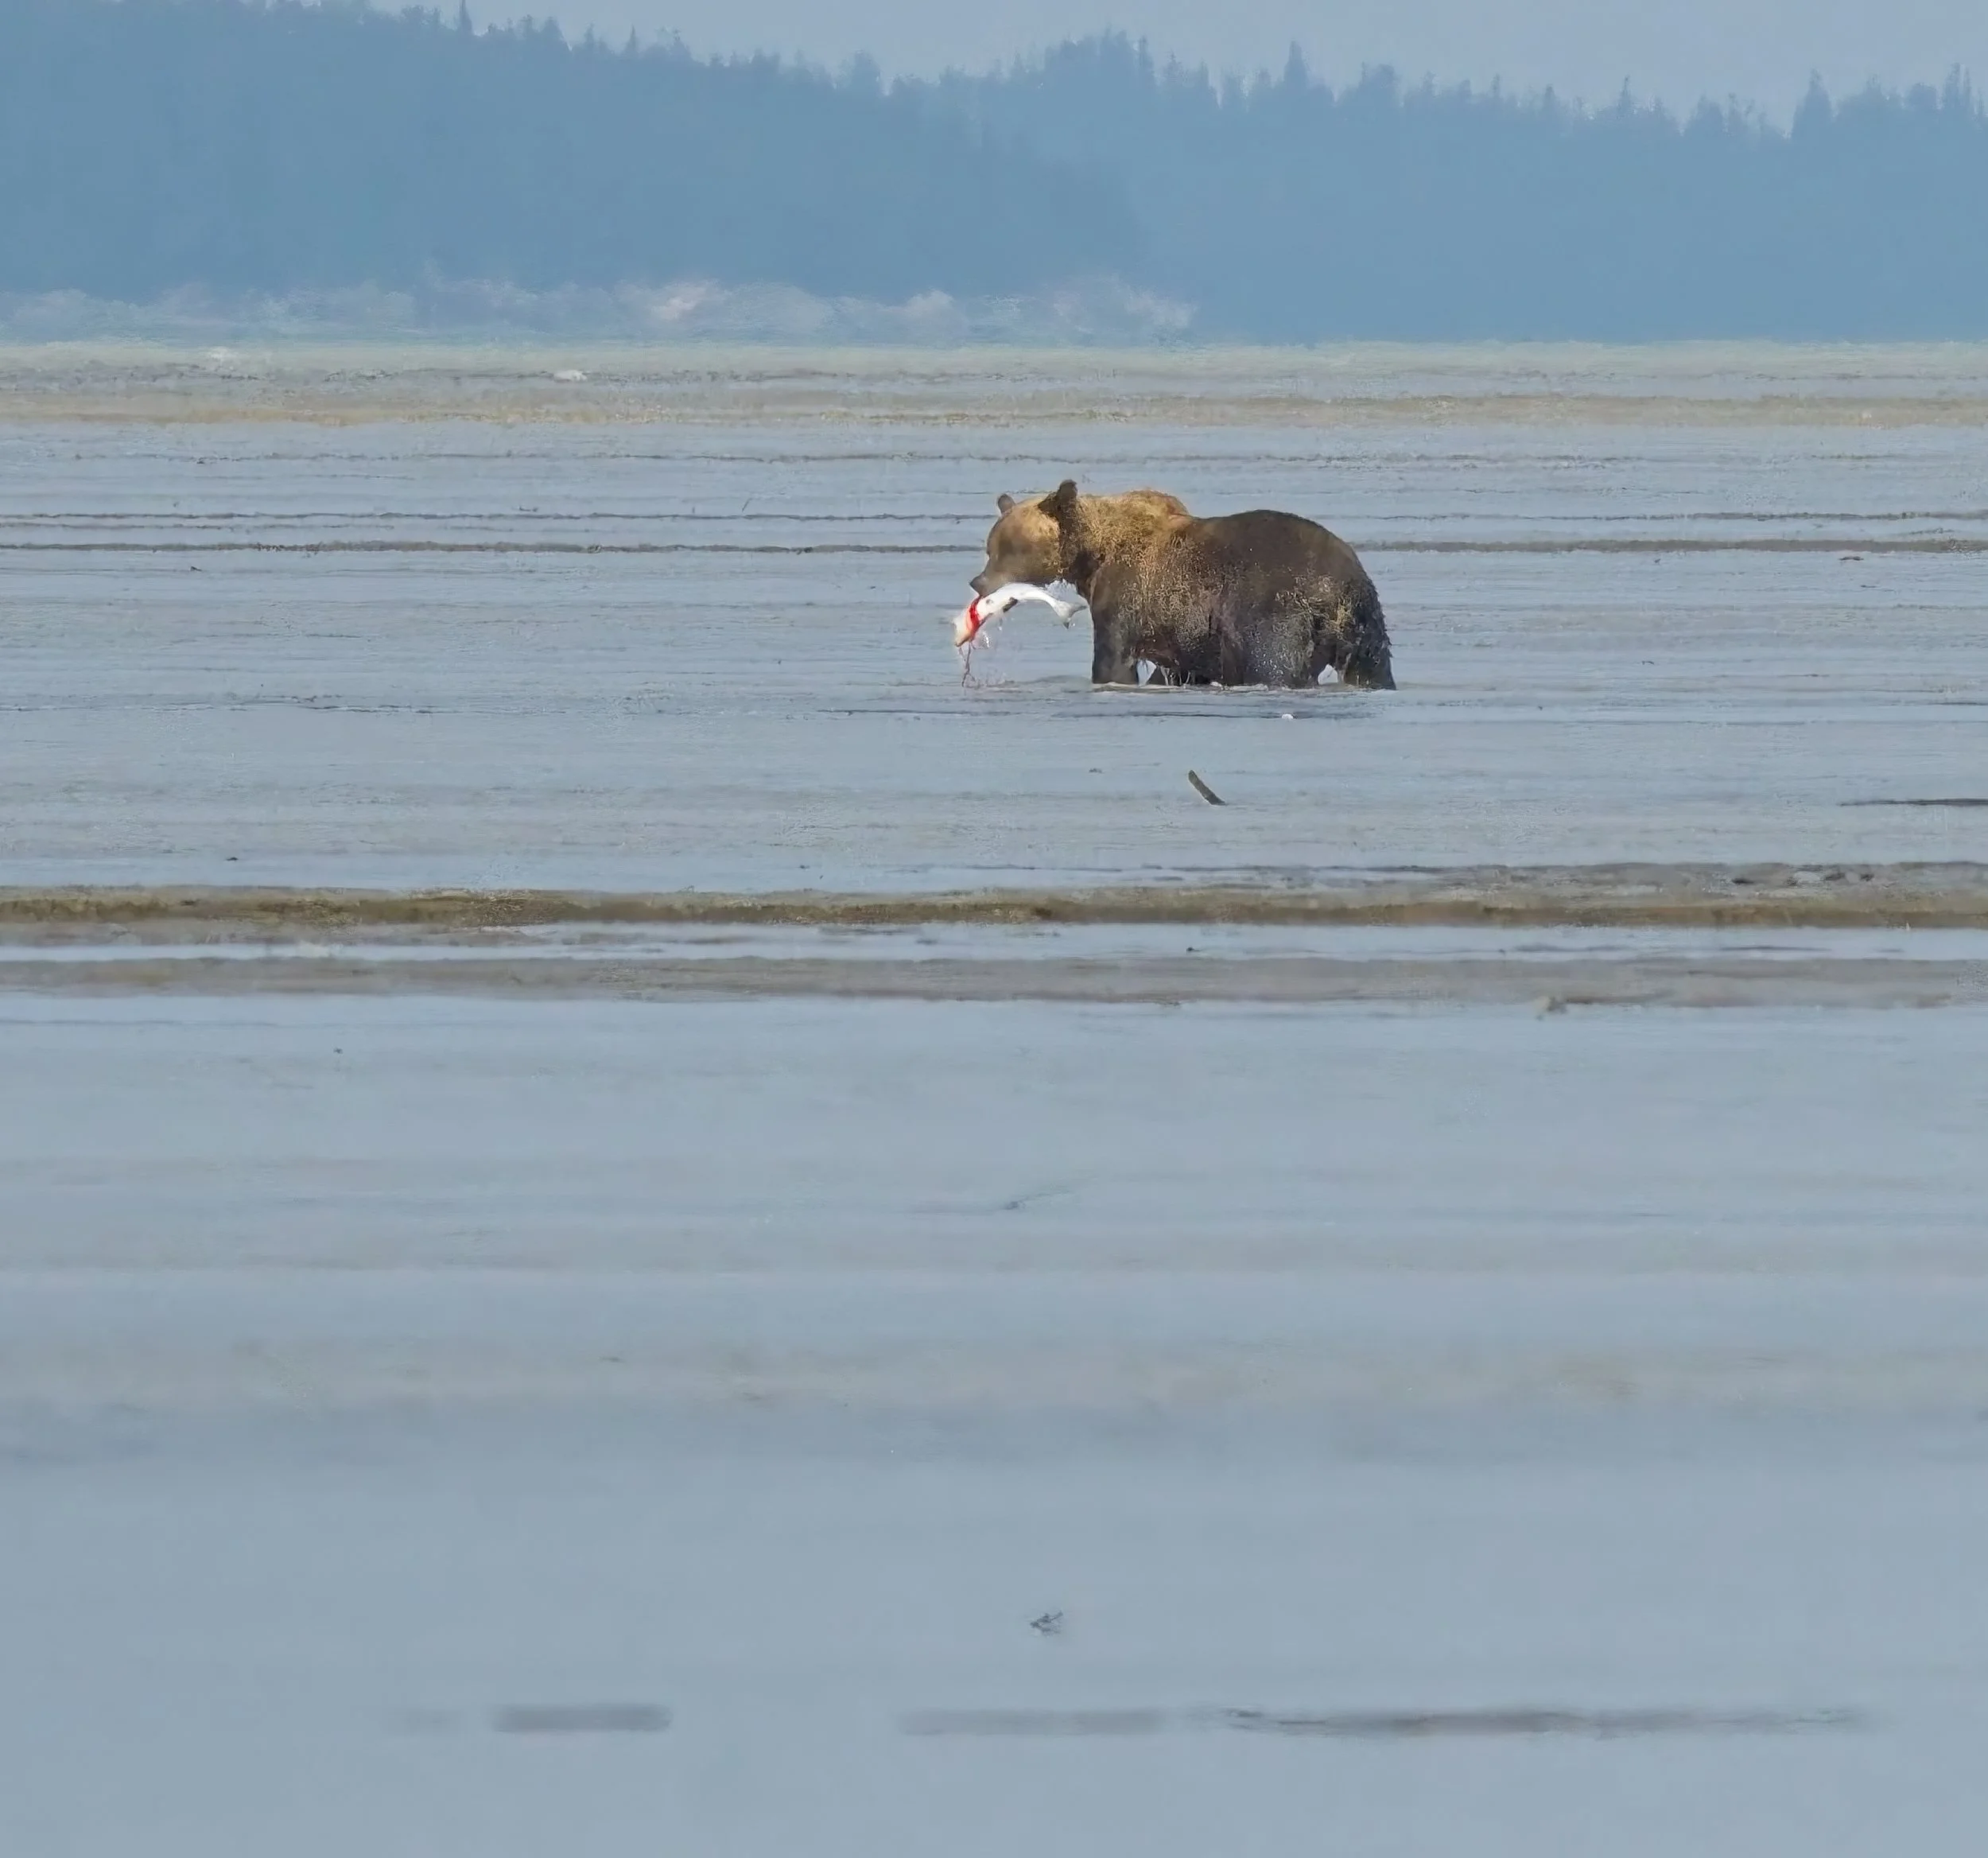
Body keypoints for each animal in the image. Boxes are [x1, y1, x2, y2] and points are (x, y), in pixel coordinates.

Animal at [971, 480, 1394, 689]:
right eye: (990, 547)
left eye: (1010, 548)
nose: (978, 582)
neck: (1093, 553)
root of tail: (1338, 585)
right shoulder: (1183, 630)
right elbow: (1179, 666)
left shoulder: (1128, 591)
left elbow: (1113, 659)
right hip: (1366, 621)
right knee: (1372, 670)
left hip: (1276, 609)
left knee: (1274, 665)